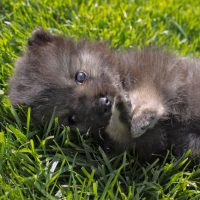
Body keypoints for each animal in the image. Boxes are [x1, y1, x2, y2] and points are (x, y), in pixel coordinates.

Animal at [9, 28, 200, 160]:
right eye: (71, 119)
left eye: (80, 76)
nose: (104, 104)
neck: (124, 77)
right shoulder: (152, 141)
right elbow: (123, 133)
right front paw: (122, 114)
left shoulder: (155, 74)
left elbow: (146, 94)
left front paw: (137, 114)